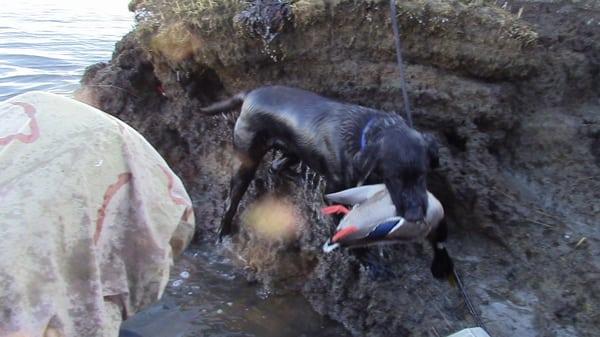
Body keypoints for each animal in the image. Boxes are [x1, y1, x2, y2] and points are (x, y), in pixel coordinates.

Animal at [200, 86, 450, 278]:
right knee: (230, 204)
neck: (364, 135)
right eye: (394, 177)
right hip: (246, 164)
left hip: (294, 151)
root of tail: (250, 94)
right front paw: (368, 263)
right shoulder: (335, 192)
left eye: (423, 174)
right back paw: (222, 235)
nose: (415, 215)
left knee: (276, 167)